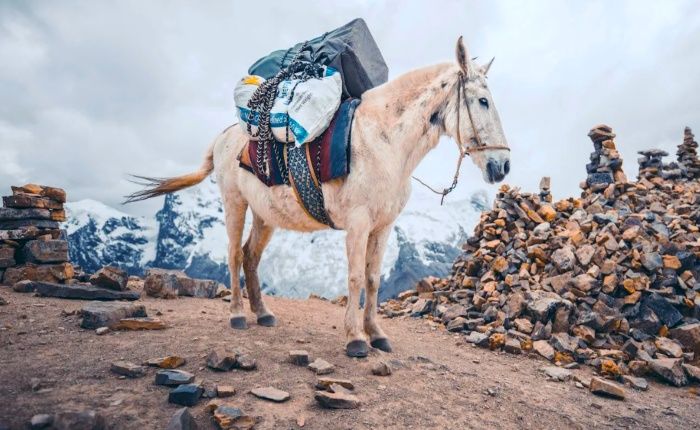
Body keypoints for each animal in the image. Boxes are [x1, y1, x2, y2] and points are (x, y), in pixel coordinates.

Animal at [127, 37, 508, 358]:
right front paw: (355, 339)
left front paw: (377, 334)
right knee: (234, 255)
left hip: (265, 215)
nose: (502, 166)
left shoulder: (383, 226)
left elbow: (372, 279)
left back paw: (262, 313)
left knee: (250, 256)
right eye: (483, 101)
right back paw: (236, 315)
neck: (384, 143)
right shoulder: (358, 223)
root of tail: (224, 135)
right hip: (234, 202)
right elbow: (355, 277)